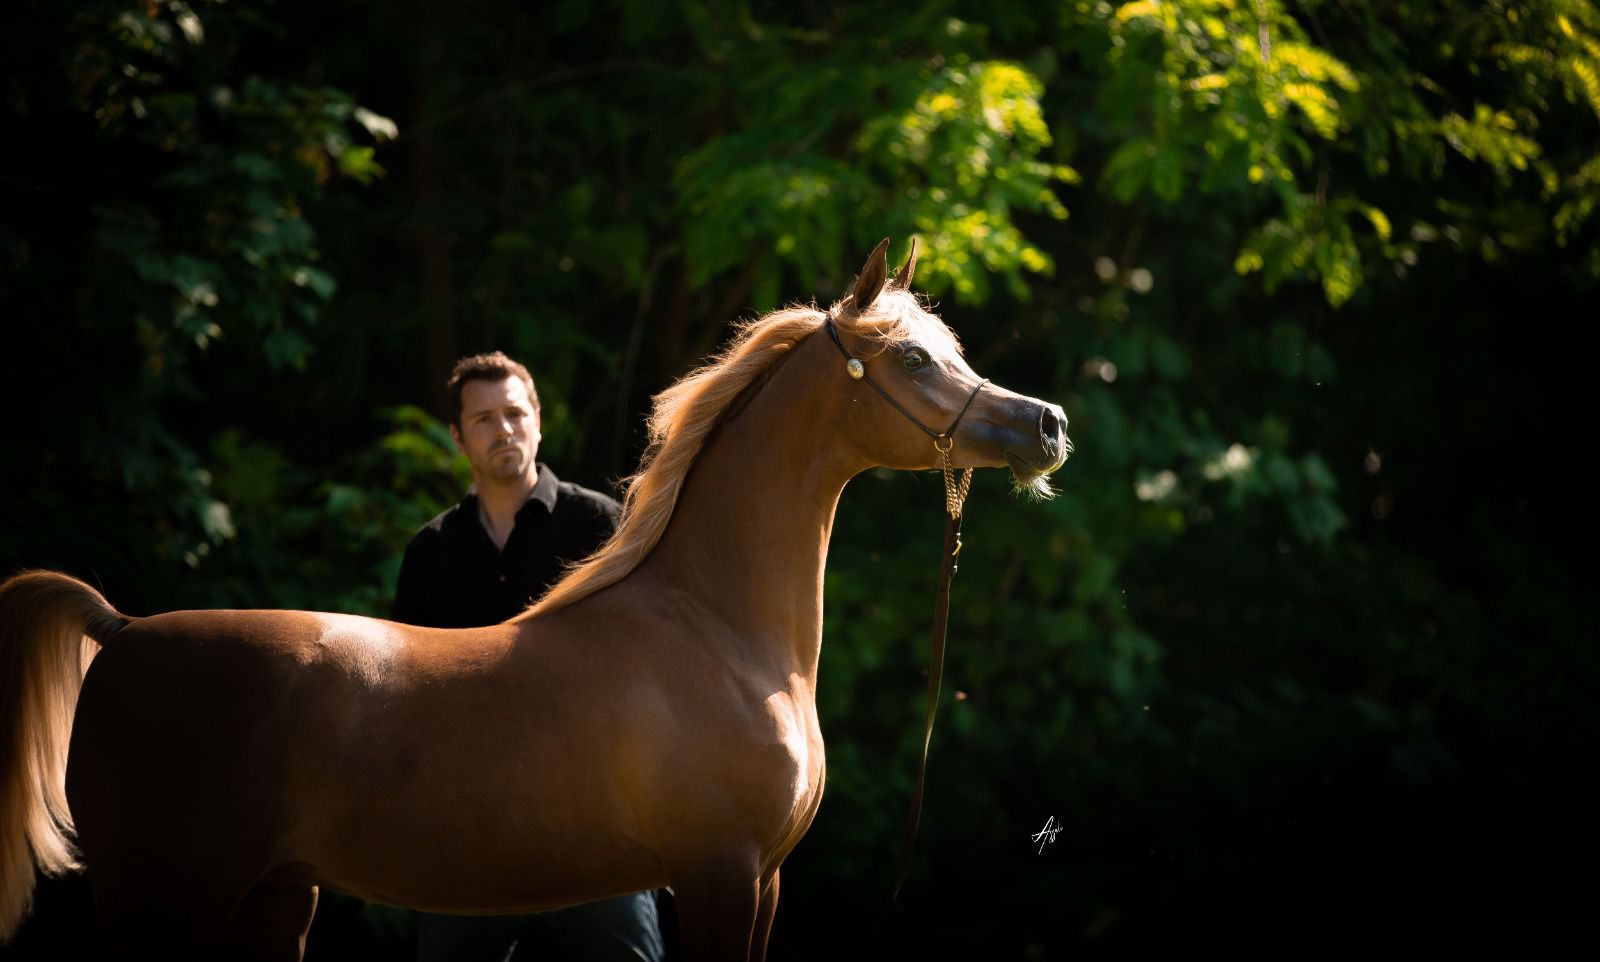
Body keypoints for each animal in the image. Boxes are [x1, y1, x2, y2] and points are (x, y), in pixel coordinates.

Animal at [0, 238, 1071, 961]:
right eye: (913, 360)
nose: (1046, 424)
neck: (718, 632)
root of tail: (123, 631)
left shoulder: (762, 882)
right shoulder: (720, 875)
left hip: (271, 900)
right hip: (167, 899)